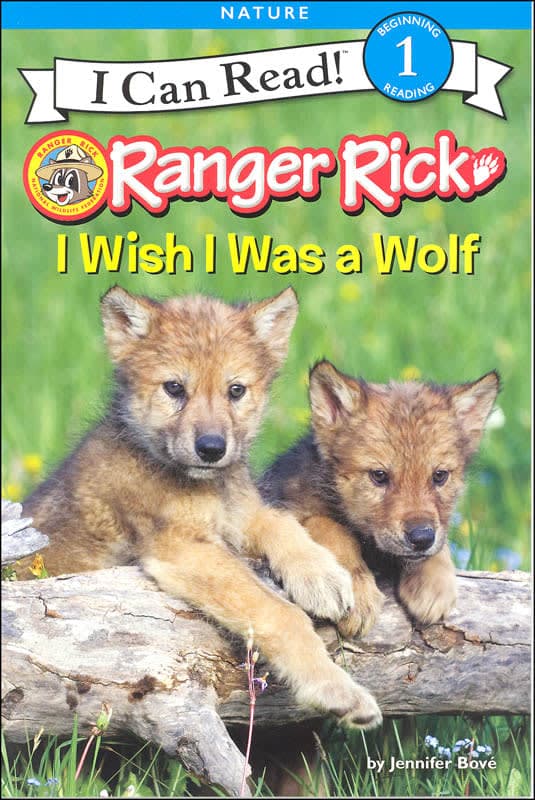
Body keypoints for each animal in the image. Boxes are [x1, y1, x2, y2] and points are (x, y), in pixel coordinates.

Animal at [21, 289, 381, 729]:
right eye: (174, 388)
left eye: (236, 390)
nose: (211, 448)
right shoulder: (182, 549)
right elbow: (278, 612)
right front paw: (336, 690)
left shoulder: (242, 513)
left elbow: (282, 523)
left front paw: (323, 575)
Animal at [261, 359, 500, 636]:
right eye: (379, 476)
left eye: (439, 476)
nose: (421, 538)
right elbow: (331, 528)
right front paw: (358, 594)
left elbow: (441, 539)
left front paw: (433, 584)